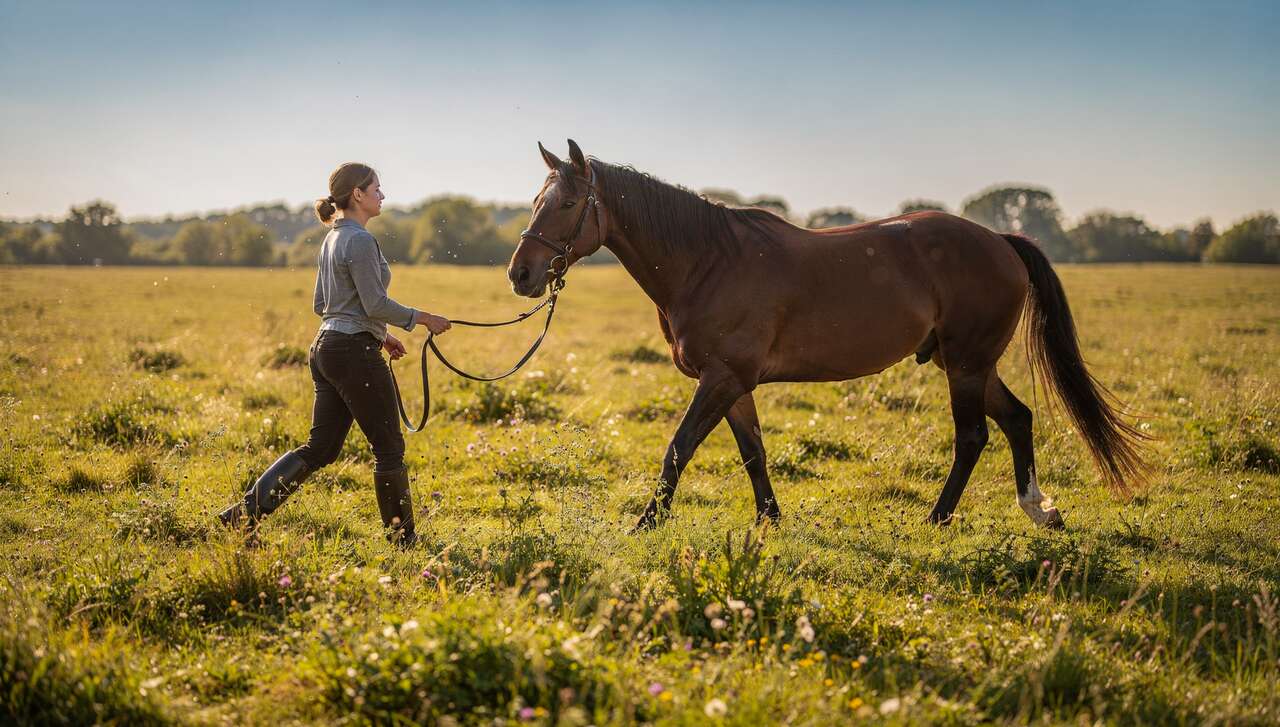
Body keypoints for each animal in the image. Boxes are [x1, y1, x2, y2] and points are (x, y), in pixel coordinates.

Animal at [507, 140, 1148, 531]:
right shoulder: (734, 384)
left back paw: (938, 519)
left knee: (972, 438)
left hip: (966, 365)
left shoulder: (722, 378)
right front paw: (770, 521)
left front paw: (648, 523)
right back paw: (1039, 509)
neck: (708, 261)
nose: (521, 274)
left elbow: (679, 448)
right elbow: (753, 453)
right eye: (535, 201)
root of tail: (1001, 241)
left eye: (567, 202)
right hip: (966, 363)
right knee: (1016, 419)